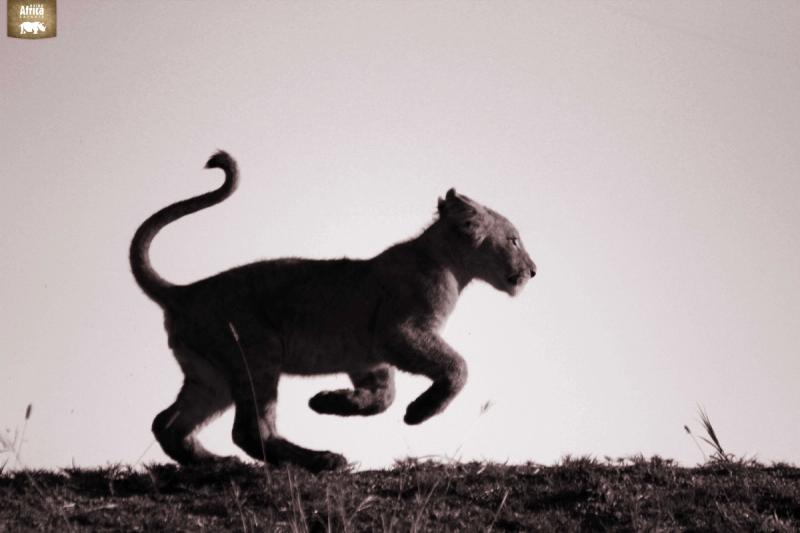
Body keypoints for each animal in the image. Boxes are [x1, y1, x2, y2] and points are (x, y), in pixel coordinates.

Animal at [130, 151, 536, 472]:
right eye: (514, 240)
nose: (534, 271)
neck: (452, 265)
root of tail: (183, 292)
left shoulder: (369, 356)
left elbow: (383, 398)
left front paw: (328, 402)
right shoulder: (400, 331)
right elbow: (457, 367)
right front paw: (419, 412)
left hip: (210, 377)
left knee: (167, 423)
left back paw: (213, 463)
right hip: (255, 353)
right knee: (250, 430)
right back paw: (323, 460)